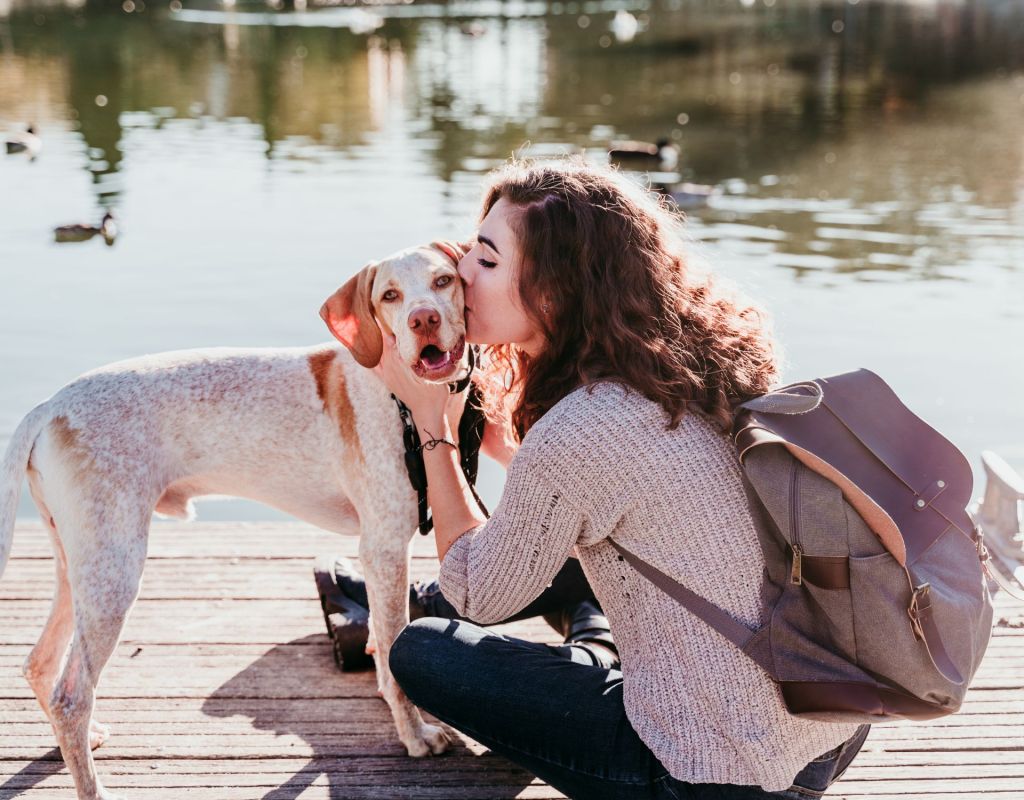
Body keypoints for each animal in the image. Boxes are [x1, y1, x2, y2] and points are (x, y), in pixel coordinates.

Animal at [0, 240, 471, 794]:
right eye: (390, 296)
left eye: (444, 281)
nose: (424, 319)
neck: (400, 396)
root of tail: (49, 407)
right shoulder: (384, 547)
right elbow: (395, 654)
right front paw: (415, 737)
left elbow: (383, 645)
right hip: (113, 574)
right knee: (72, 693)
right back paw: (95, 788)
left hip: (77, 566)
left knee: (40, 665)